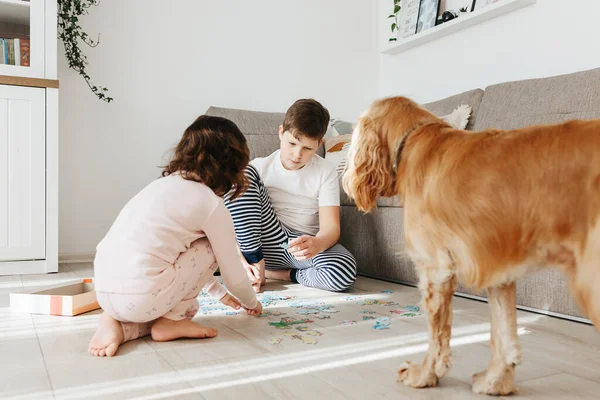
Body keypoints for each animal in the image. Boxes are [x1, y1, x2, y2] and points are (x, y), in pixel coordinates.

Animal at [342, 95, 600, 396]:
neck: (415, 138)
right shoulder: (500, 274)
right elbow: (502, 334)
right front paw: (495, 382)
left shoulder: (435, 268)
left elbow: (436, 333)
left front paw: (424, 374)